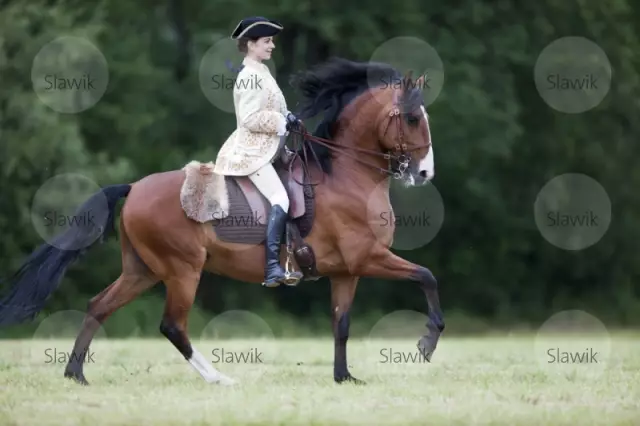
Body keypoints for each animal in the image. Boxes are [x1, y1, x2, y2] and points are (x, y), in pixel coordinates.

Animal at [0, 57, 442, 386]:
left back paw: (75, 373)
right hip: (182, 269)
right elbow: (426, 276)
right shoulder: (368, 256)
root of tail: (135, 187)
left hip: (143, 270)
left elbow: (342, 324)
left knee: (99, 306)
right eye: (411, 118)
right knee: (172, 325)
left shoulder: (347, 270)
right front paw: (427, 343)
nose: (424, 173)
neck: (345, 174)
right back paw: (218, 378)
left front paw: (344, 377)